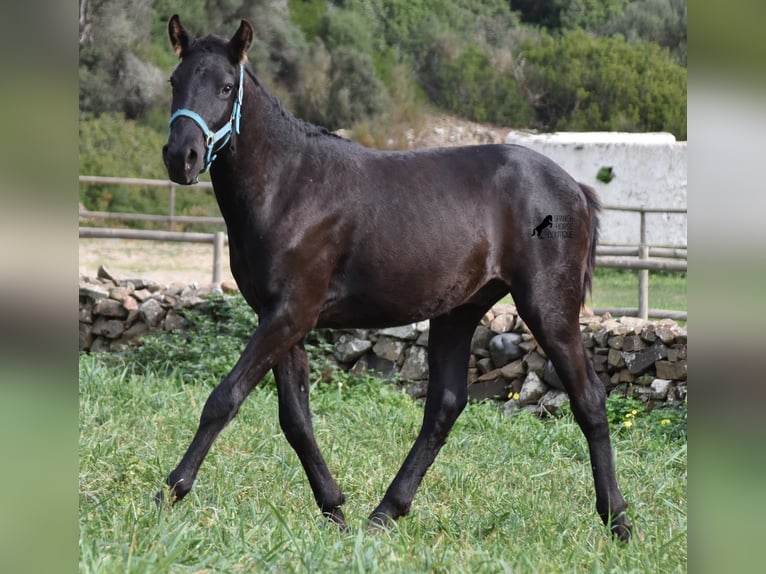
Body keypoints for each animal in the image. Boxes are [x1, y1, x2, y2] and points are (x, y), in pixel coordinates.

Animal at [159, 15, 632, 544]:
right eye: (175, 81)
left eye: (225, 86)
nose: (181, 157)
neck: (289, 185)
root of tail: (575, 187)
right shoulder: (282, 318)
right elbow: (295, 418)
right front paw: (334, 509)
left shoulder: (290, 314)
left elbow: (224, 398)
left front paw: (170, 491)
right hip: (458, 311)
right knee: (445, 406)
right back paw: (385, 512)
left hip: (548, 307)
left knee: (588, 398)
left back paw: (618, 520)